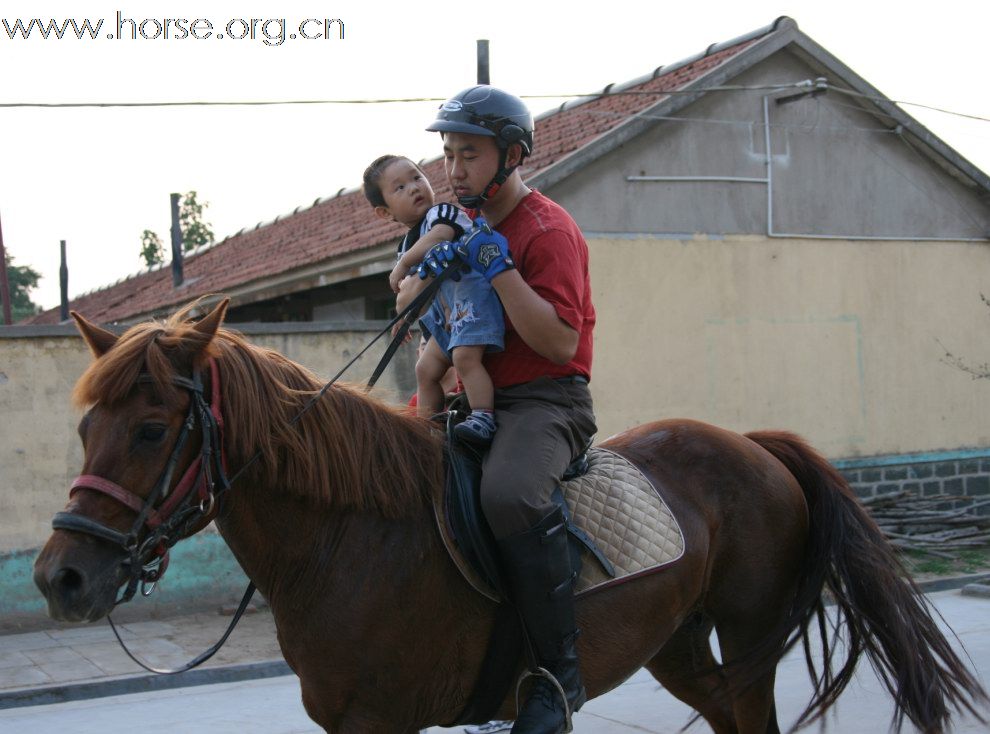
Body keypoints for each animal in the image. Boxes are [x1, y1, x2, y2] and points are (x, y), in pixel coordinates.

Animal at [35, 302, 988, 732]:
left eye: (151, 429)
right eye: (84, 428)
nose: (62, 578)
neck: (347, 538)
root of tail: (752, 446)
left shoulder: (383, 723)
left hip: (750, 642)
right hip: (681, 644)